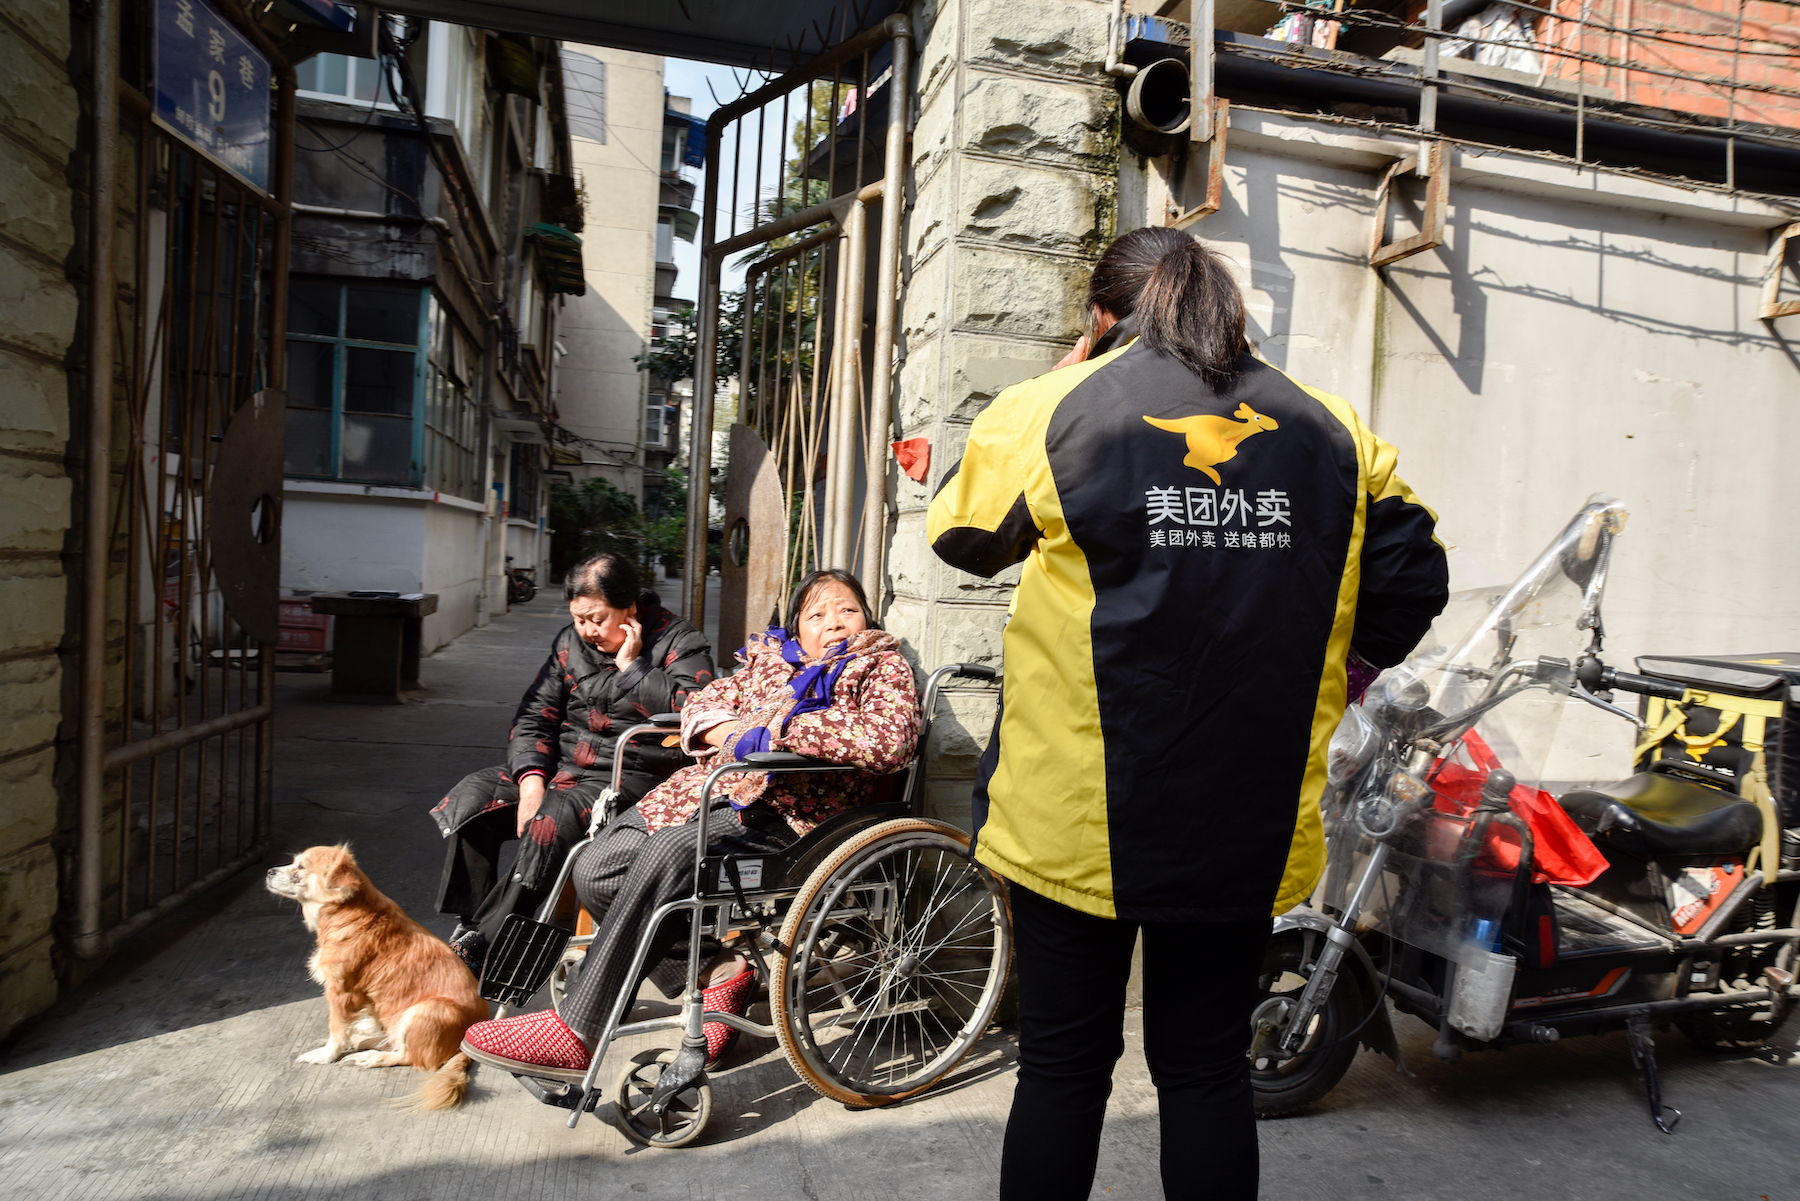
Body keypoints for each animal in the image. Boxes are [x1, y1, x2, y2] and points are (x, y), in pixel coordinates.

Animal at [262, 846, 489, 1109]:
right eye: (293, 862)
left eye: (301, 867)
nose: (269, 871)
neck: (349, 912)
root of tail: (465, 1046)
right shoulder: (366, 992)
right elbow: (367, 1016)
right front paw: (364, 1029)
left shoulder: (340, 991)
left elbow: (336, 1030)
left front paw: (326, 1055)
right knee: (392, 1040)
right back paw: (364, 1041)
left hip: (427, 1009)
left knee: (410, 1057)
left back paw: (369, 1057)